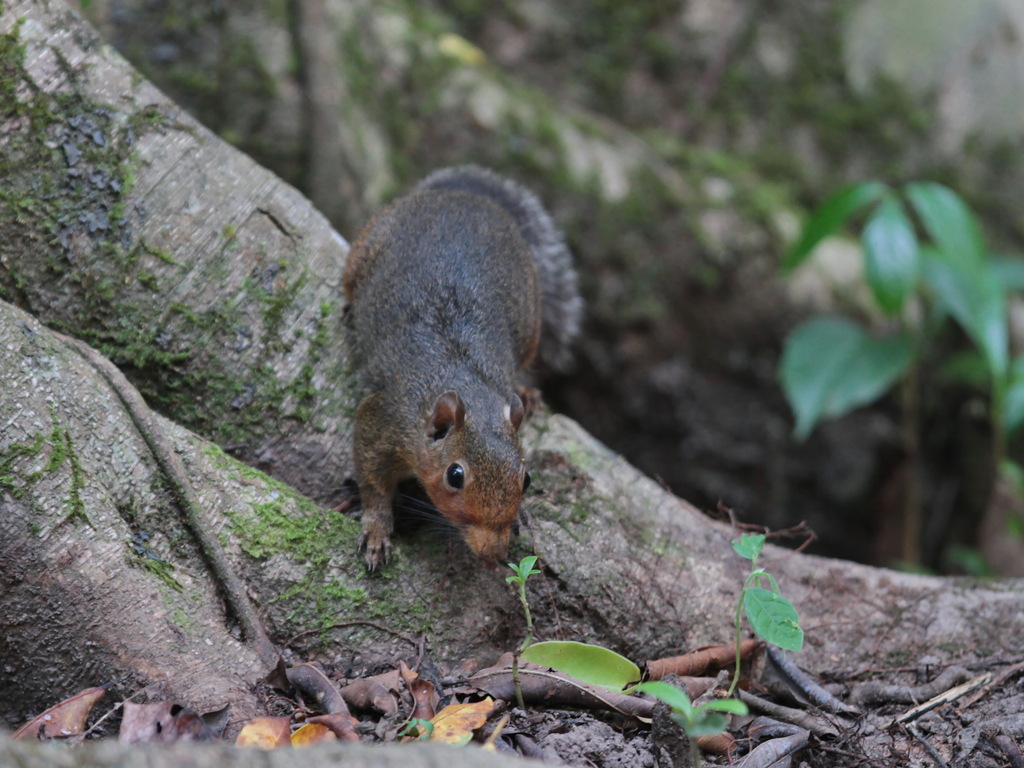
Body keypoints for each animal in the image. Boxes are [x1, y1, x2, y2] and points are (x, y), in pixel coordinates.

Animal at [343, 165, 581, 571]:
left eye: (527, 478)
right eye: (455, 476)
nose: (494, 553)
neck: (468, 381)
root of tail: (466, 197)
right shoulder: (383, 419)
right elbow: (372, 481)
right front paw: (376, 532)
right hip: (365, 246)